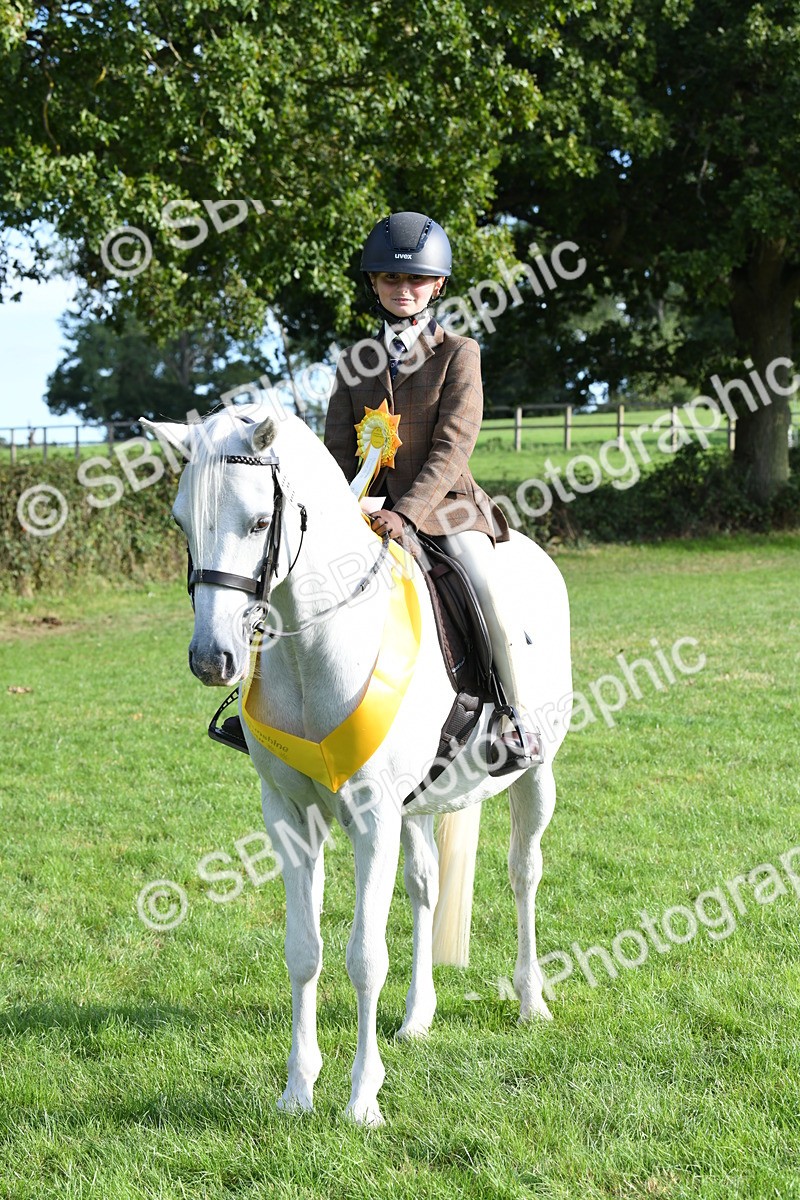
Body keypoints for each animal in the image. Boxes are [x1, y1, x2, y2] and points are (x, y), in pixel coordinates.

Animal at [144, 402, 572, 1127]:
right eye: (181, 521)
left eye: (257, 522)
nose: (211, 660)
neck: (311, 648)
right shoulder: (291, 818)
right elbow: (304, 952)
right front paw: (297, 1090)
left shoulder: (373, 818)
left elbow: (365, 957)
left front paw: (362, 1099)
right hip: (419, 805)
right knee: (427, 887)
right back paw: (418, 1017)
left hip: (533, 778)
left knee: (524, 875)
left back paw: (531, 1002)